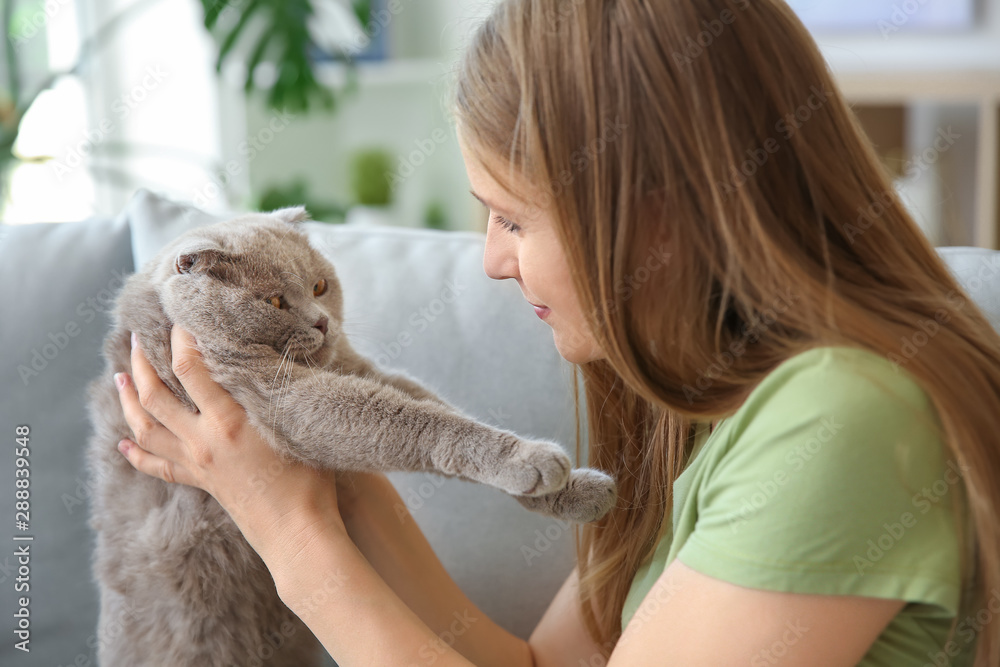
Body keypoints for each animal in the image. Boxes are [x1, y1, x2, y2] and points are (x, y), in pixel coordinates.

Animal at [86, 209, 616, 667]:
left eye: (320, 285)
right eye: (274, 302)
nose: (322, 321)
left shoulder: (357, 368)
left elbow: (434, 407)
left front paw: (576, 491)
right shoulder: (275, 394)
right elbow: (415, 421)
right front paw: (530, 461)